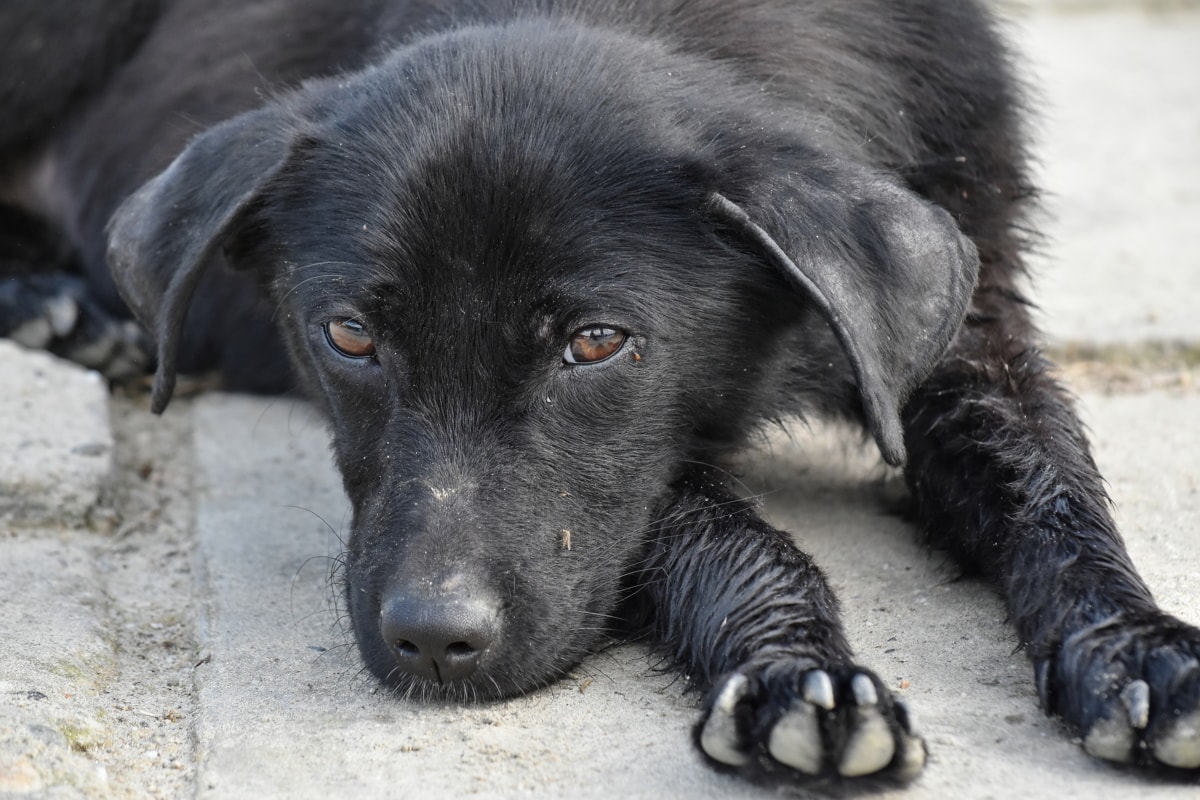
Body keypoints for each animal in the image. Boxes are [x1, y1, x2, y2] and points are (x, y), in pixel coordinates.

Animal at [2, 0, 1200, 786]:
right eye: (348, 335)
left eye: (595, 343)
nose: (432, 642)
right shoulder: (637, 495)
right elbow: (718, 528)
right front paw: (796, 674)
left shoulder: (972, 327)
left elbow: (1052, 484)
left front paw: (1139, 650)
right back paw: (50, 296)